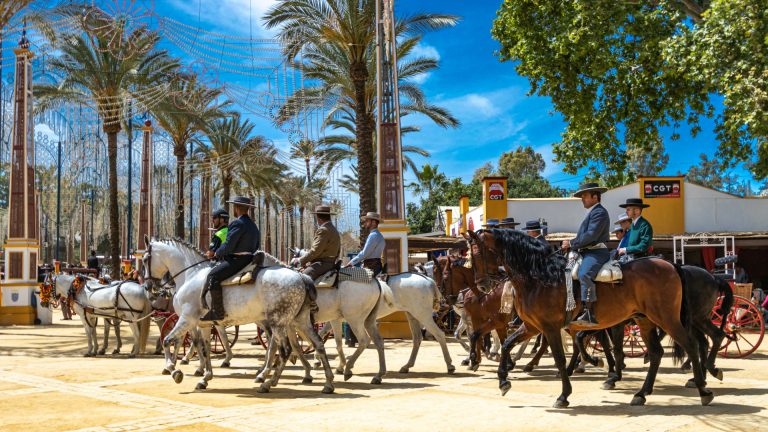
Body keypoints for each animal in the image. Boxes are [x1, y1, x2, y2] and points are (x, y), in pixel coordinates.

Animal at [142, 238, 334, 394]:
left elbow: (169, 340)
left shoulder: (187, 319)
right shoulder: (204, 325)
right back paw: (327, 382)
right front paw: (204, 378)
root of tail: (301, 277)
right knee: (317, 344)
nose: (147, 287)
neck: (191, 275)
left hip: (278, 323)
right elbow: (204, 348)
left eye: (144, 259)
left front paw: (173, 370)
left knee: (284, 350)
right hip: (299, 321)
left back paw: (267, 382)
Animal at [468, 230, 712, 408]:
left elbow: (559, 357)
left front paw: (564, 395)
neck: (539, 277)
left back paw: (703, 389)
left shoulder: (550, 328)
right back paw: (641, 394)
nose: (482, 285)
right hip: (645, 321)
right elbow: (507, 344)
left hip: (667, 319)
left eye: (478, 254)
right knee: (656, 353)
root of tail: (670, 264)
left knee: (691, 344)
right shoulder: (531, 326)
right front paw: (503, 381)